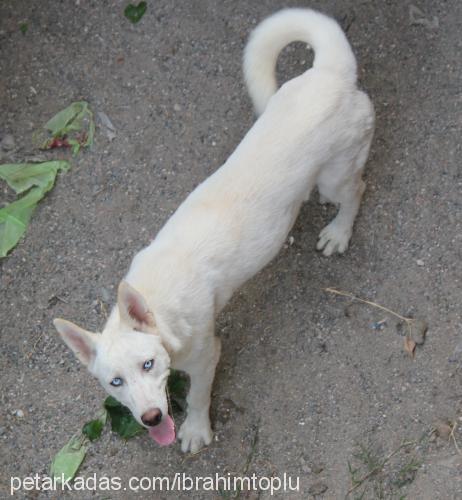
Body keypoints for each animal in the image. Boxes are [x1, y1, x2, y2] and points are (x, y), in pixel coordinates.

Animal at [53, 7, 376, 454]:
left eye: (148, 364)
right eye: (115, 382)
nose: (151, 418)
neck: (159, 301)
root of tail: (330, 71)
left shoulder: (207, 356)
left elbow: (197, 396)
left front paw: (195, 430)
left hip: (337, 175)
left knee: (356, 190)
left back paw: (339, 232)